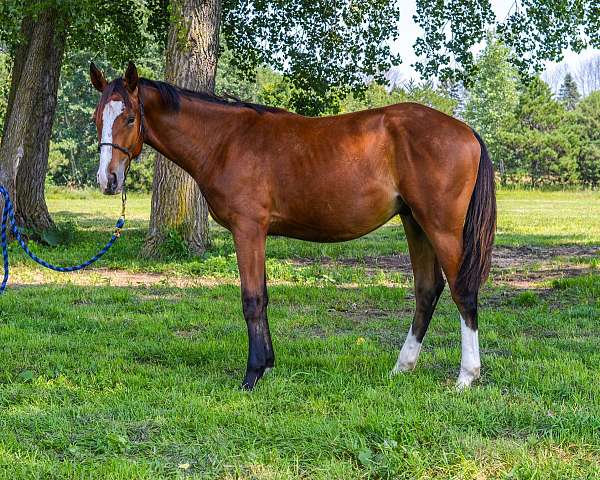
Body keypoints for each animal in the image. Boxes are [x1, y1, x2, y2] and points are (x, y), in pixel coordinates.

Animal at [88, 62, 492, 390]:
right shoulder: (256, 234)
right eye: (97, 118)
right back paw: (402, 368)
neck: (225, 141)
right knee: (427, 290)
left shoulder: (248, 230)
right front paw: (267, 365)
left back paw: (465, 377)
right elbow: (264, 296)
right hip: (415, 223)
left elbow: (252, 300)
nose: (108, 180)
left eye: (129, 118)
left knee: (462, 291)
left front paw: (252, 375)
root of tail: (466, 130)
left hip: (440, 228)